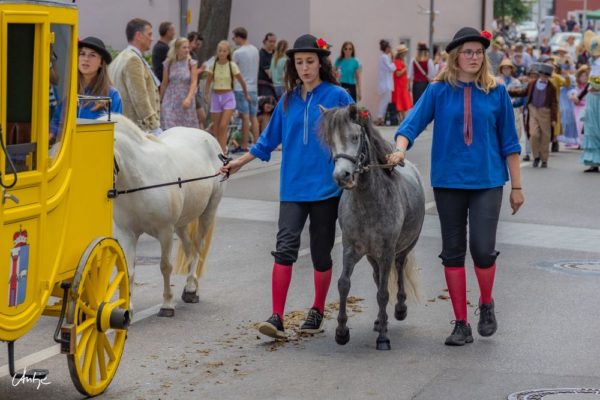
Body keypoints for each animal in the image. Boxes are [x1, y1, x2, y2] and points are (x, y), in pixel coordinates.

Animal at [107, 115, 225, 317]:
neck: (139, 182)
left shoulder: (165, 231)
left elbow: (165, 266)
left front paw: (167, 304)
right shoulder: (127, 233)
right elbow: (128, 270)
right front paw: (127, 310)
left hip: (208, 212)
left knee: (198, 247)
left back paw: (191, 290)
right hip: (181, 224)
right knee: (189, 249)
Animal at [319, 104, 425, 350]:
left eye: (355, 137)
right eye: (330, 141)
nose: (342, 176)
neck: (368, 202)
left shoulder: (386, 251)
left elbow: (384, 293)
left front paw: (383, 338)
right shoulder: (351, 249)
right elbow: (344, 284)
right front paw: (341, 331)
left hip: (402, 247)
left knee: (398, 268)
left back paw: (399, 310)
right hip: (371, 256)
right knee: (378, 278)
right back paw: (379, 320)